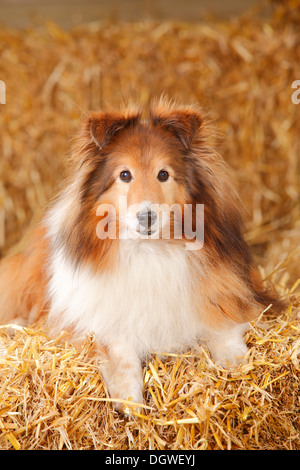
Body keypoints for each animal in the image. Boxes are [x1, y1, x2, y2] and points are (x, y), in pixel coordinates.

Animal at [0, 97, 284, 410]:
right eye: (125, 175)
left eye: (163, 174)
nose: (146, 216)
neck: (148, 250)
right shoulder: (95, 320)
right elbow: (121, 352)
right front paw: (131, 402)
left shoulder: (223, 292)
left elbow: (222, 325)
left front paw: (238, 365)